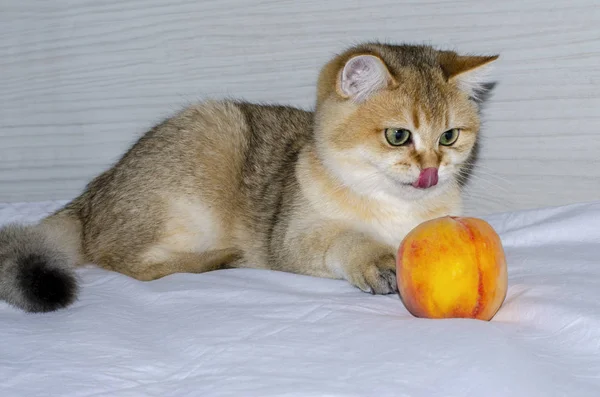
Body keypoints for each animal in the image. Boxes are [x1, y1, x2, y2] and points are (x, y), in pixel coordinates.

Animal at [0, 41, 496, 310]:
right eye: (398, 135)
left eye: (449, 136)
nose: (431, 172)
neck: (394, 209)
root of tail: (92, 195)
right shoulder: (293, 238)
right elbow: (345, 238)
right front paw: (375, 259)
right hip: (201, 160)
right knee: (126, 262)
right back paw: (219, 258)